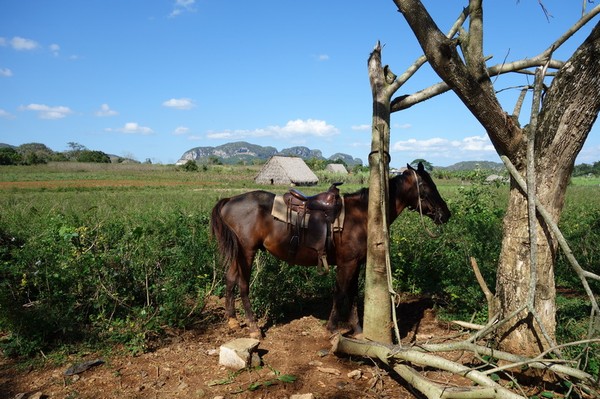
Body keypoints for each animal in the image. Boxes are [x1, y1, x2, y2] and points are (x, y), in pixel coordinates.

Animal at [211, 162, 450, 338]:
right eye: (426, 186)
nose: (446, 214)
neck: (363, 215)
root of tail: (230, 200)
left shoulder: (356, 263)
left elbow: (352, 295)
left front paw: (357, 329)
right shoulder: (347, 263)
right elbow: (341, 293)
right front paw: (333, 328)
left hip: (238, 254)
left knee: (230, 278)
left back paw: (233, 321)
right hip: (247, 252)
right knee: (243, 285)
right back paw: (253, 328)